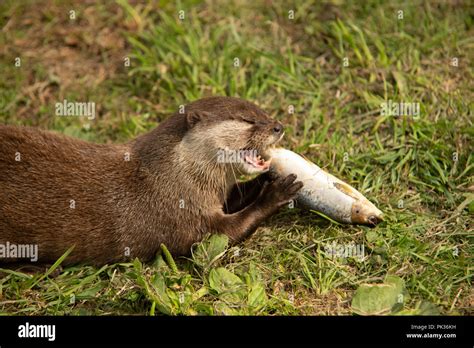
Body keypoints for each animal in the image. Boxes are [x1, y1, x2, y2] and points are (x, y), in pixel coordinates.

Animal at [0, 96, 302, 266]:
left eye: (263, 113)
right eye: (247, 119)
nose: (279, 126)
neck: (170, 178)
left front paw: (267, 179)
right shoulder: (181, 218)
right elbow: (228, 231)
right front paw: (276, 192)